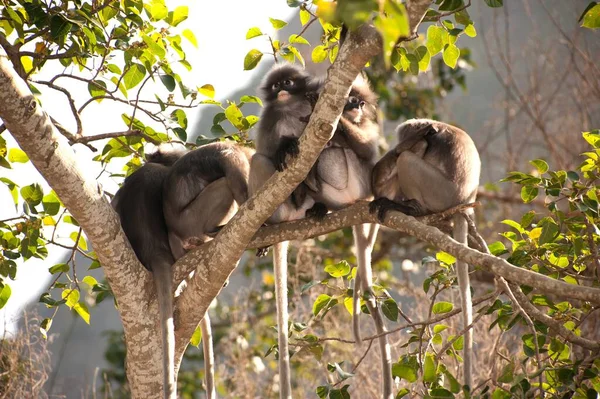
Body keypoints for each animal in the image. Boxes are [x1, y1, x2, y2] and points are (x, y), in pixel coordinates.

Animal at [370, 119, 482, 390]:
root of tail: (464, 203)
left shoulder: (410, 130)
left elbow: (409, 149)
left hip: (439, 193)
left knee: (406, 159)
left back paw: (414, 209)